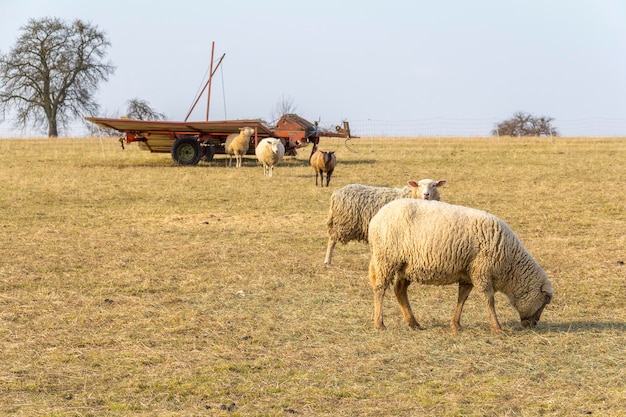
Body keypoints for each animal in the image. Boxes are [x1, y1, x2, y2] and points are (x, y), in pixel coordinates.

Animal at [366, 197, 552, 332]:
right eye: (545, 301)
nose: (534, 325)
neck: (510, 265)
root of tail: (378, 216)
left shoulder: (468, 274)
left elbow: (462, 298)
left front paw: (456, 324)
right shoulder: (481, 272)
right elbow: (489, 300)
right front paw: (497, 327)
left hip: (406, 265)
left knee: (399, 290)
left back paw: (413, 323)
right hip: (386, 259)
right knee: (380, 288)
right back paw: (379, 323)